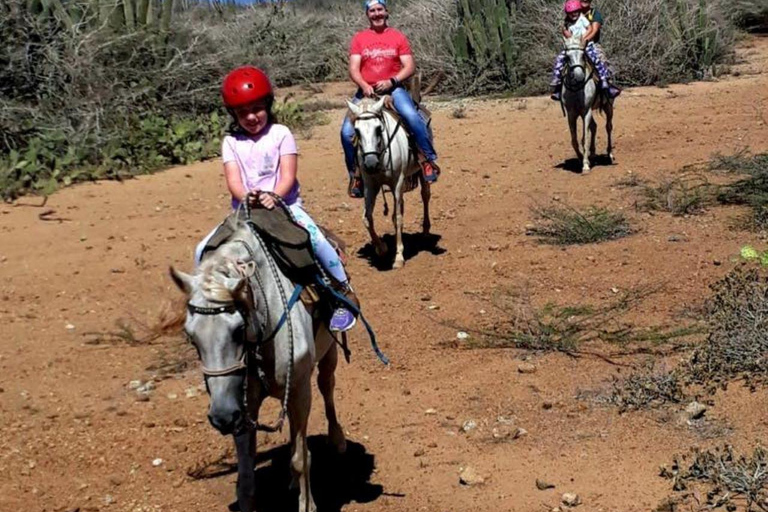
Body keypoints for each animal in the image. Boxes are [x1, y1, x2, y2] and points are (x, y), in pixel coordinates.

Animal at [172, 222, 348, 512]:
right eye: (190, 337)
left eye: (237, 330)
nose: (221, 417)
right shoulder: (242, 405)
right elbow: (246, 472)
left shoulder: (300, 390)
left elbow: (301, 457)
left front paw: (307, 504)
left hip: (329, 353)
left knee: (327, 387)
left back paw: (338, 439)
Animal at [348, 97, 432, 270]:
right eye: (357, 131)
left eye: (378, 129)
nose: (370, 163)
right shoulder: (370, 185)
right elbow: (366, 218)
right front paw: (381, 248)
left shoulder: (397, 182)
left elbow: (397, 217)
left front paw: (398, 257)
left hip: (420, 173)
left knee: (425, 196)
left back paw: (426, 230)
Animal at [560, 36, 616, 173]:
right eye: (567, 57)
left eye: (583, 55)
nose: (579, 76)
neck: (577, 89)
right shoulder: (571, 113)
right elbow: (574, 140)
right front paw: (582, 158)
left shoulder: (586, 111)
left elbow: (585, 137)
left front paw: (585, 165)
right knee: (594, 126)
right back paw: (593, 154)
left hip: (608, 107)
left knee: (608, 127)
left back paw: (610, 154)